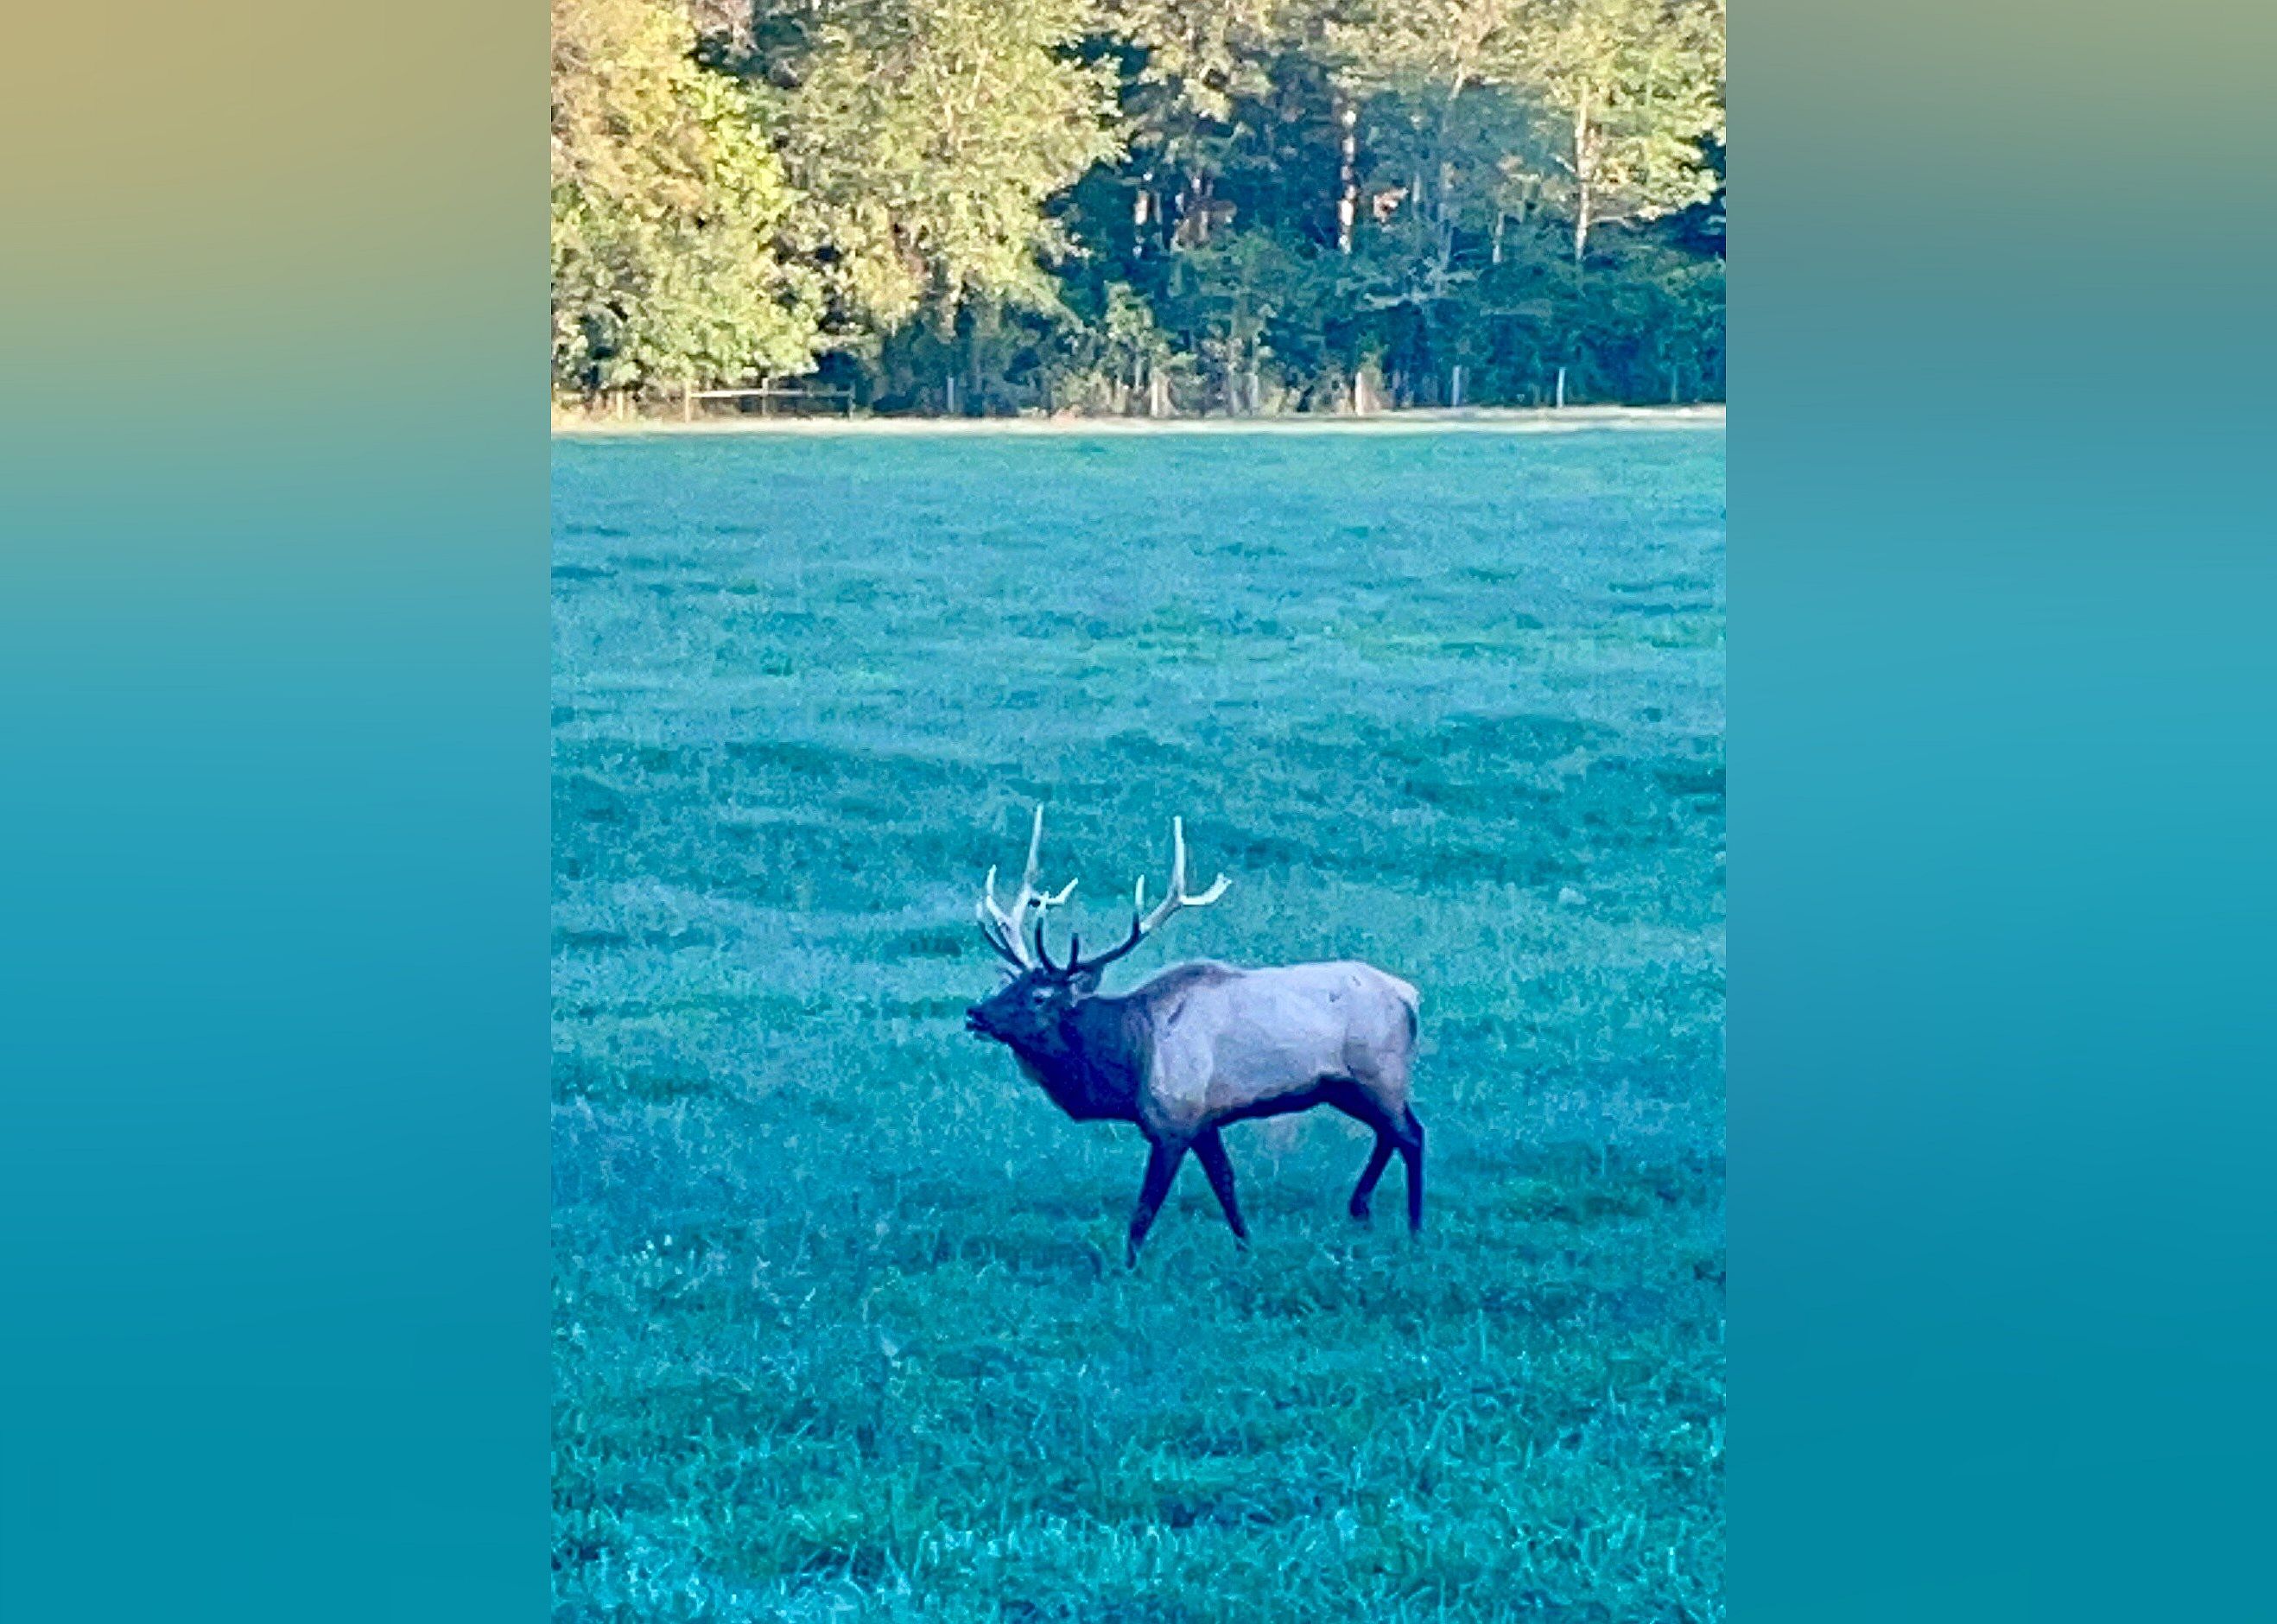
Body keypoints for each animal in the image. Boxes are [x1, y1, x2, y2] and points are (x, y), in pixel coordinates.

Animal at [962, 807, 1424, 1264]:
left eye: (1040, 996)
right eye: (1008, 985)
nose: (974, 1014)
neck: (1129, 1057)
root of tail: (1410, 996)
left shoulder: (1173, 1120)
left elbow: (1144, 1210)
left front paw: (1128, 1268)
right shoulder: (1204, 1120)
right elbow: (1225, 1183)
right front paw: (1246, 1248)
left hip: (1378, 1075)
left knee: (1411, 1134)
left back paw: (1414, 1230)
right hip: (1343, 1087)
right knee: (1392, 1133)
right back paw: (1361, 1209)